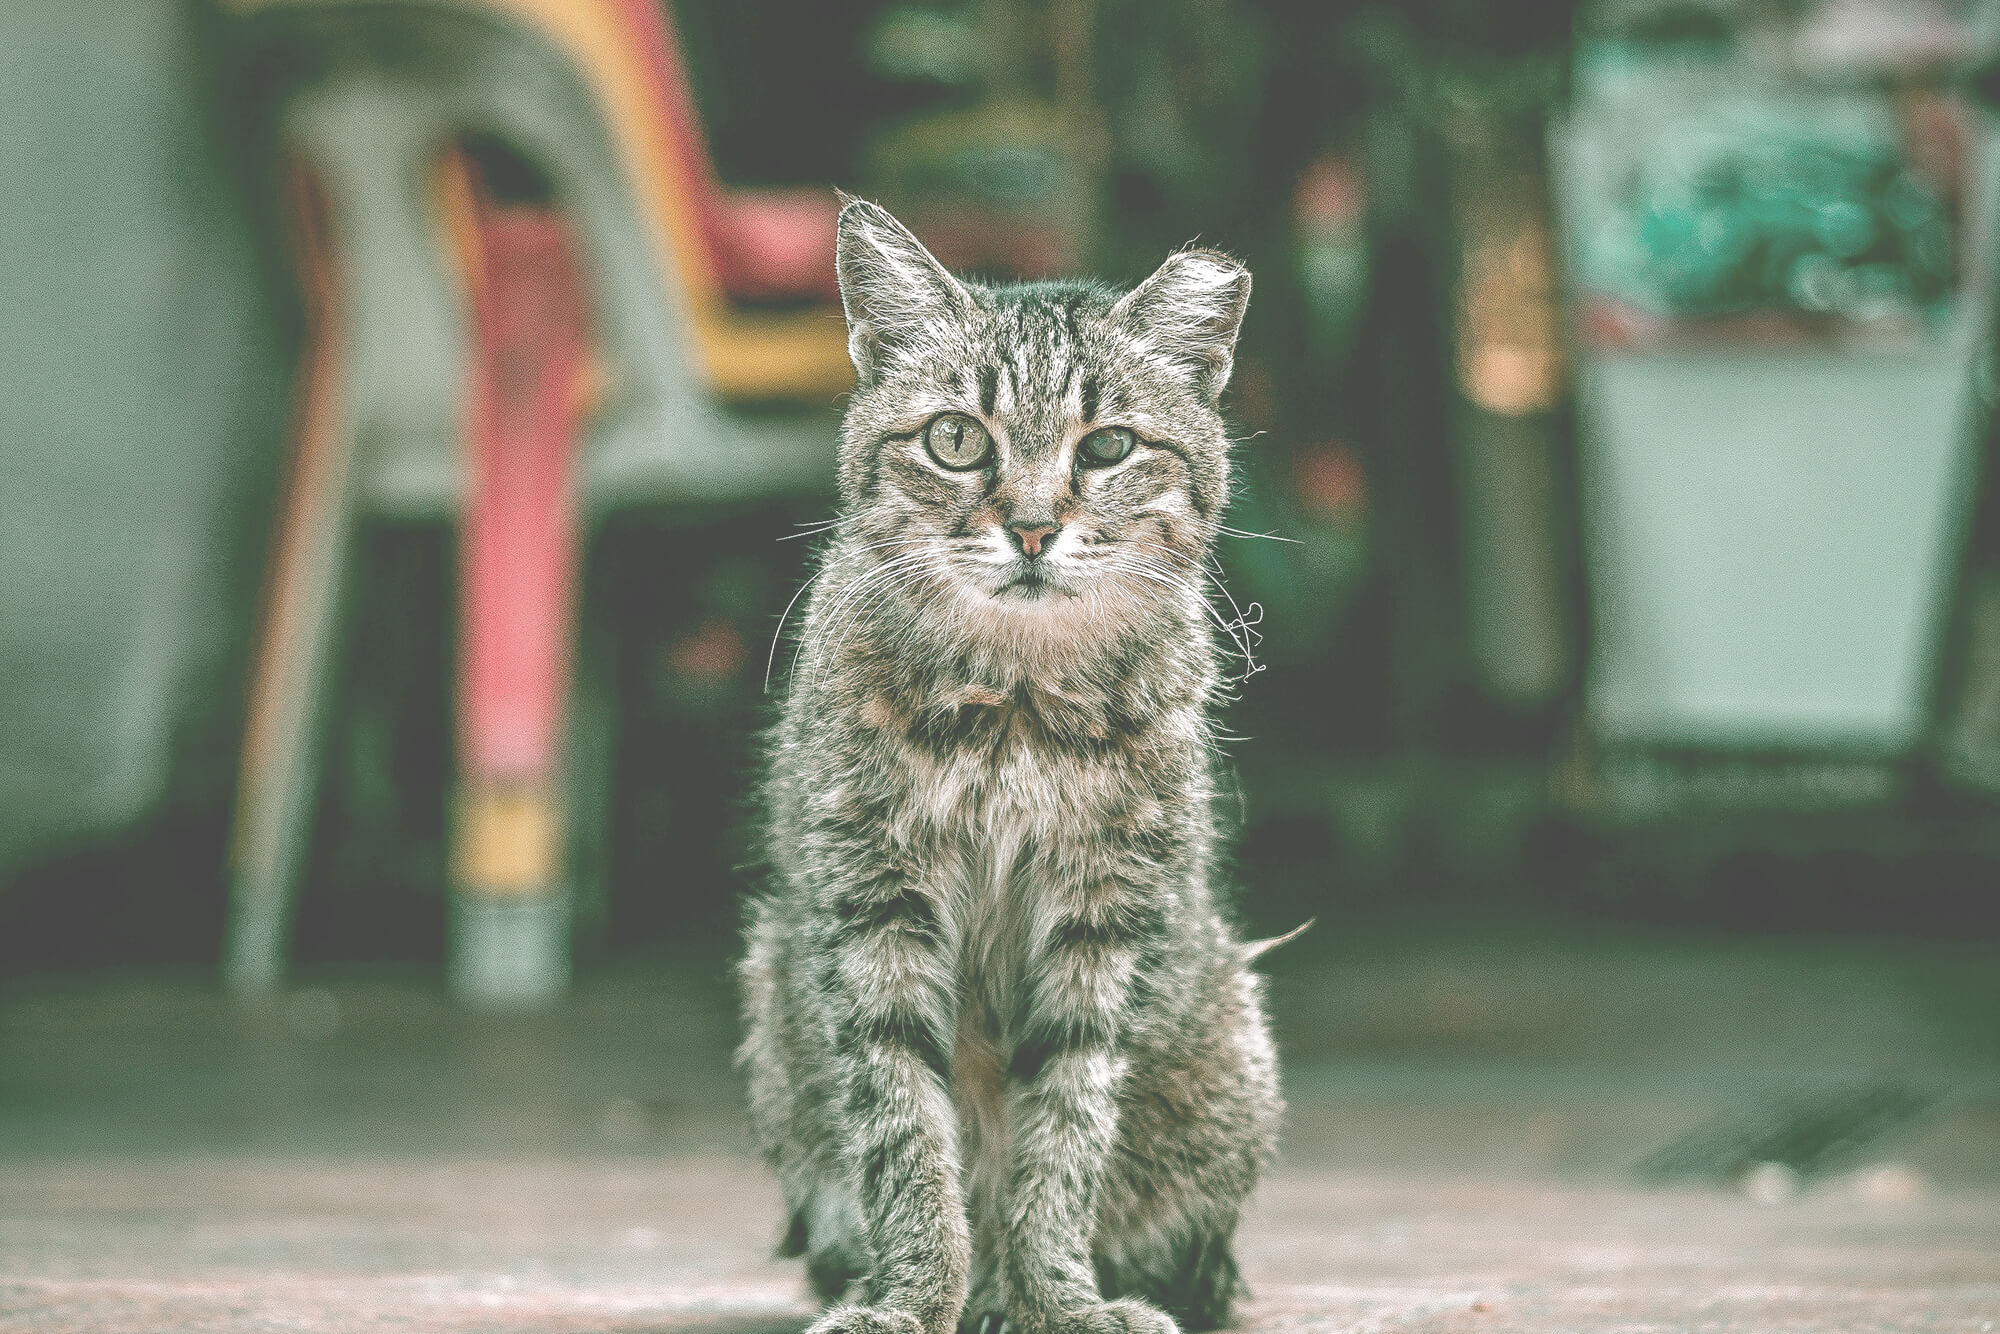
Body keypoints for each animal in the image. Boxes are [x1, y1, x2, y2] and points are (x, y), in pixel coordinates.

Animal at [740, 201, 1280, 1334]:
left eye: (1108, 445)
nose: (1032, 528)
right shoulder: (873, 906)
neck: (1016, 704)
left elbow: (1062, 1135)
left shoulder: (1103, 917)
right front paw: (911, 1297)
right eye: (956, 439)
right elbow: (903, 1130)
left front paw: (1058, 1298)